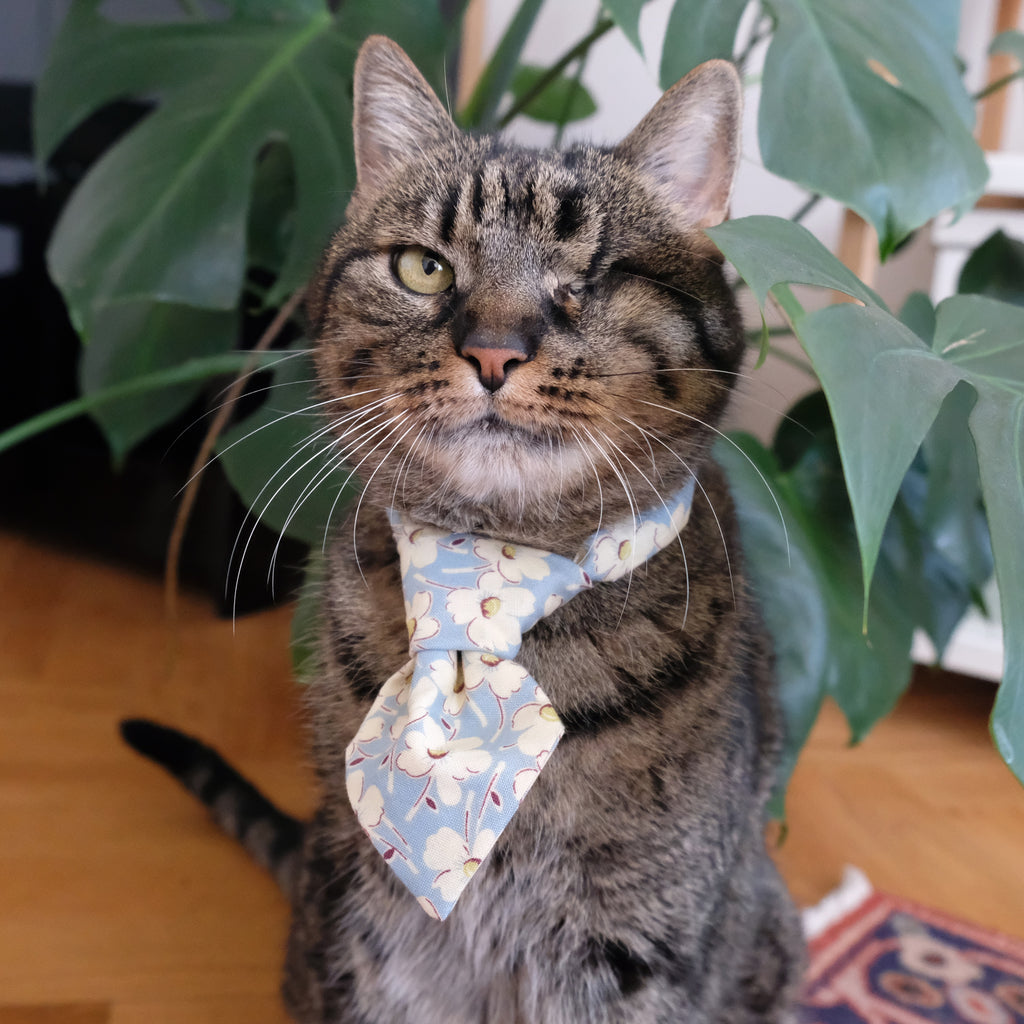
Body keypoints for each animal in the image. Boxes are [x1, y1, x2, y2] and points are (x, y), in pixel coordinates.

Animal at [121, 32, 806, 1024]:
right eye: (425, 267)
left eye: (593, 279)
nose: (492, 350)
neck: (487, 574)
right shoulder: (375, 938)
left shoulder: (634, 949)